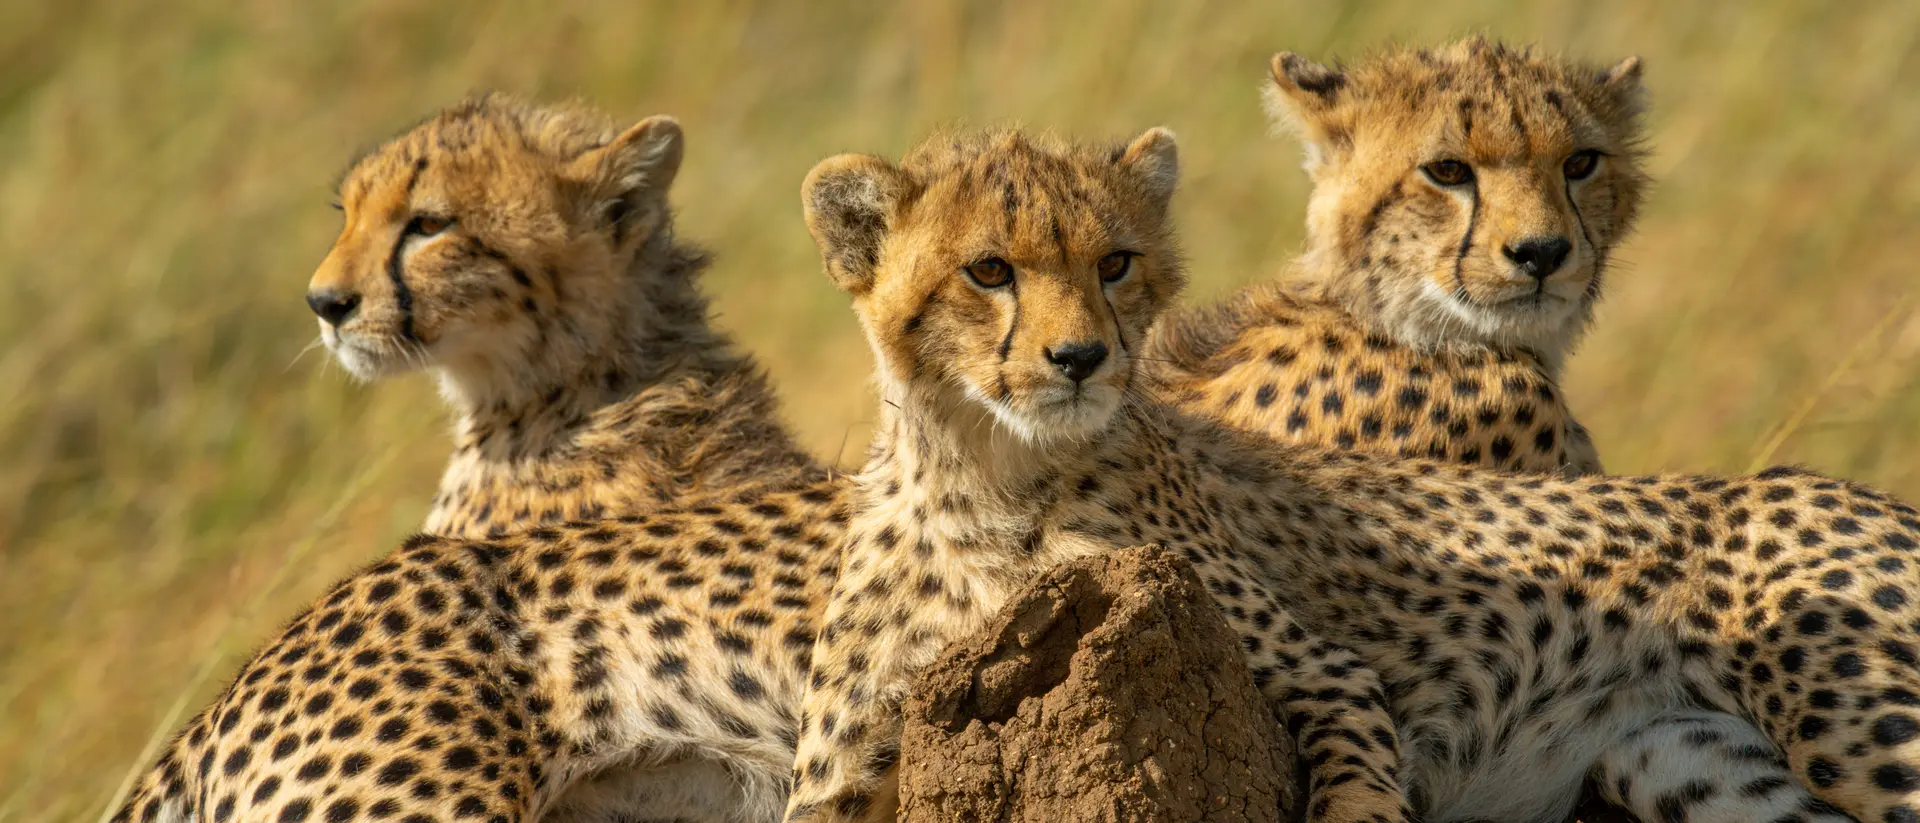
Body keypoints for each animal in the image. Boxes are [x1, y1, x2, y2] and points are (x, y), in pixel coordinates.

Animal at [784, 123, 1920, 823]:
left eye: (1113, 263)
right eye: (988, 270)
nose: (1081, 357)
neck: (993, 475)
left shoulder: (1328, 675)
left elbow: (1359, 790)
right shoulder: (848, 772)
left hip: (1847, 709)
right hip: (1679, 757)